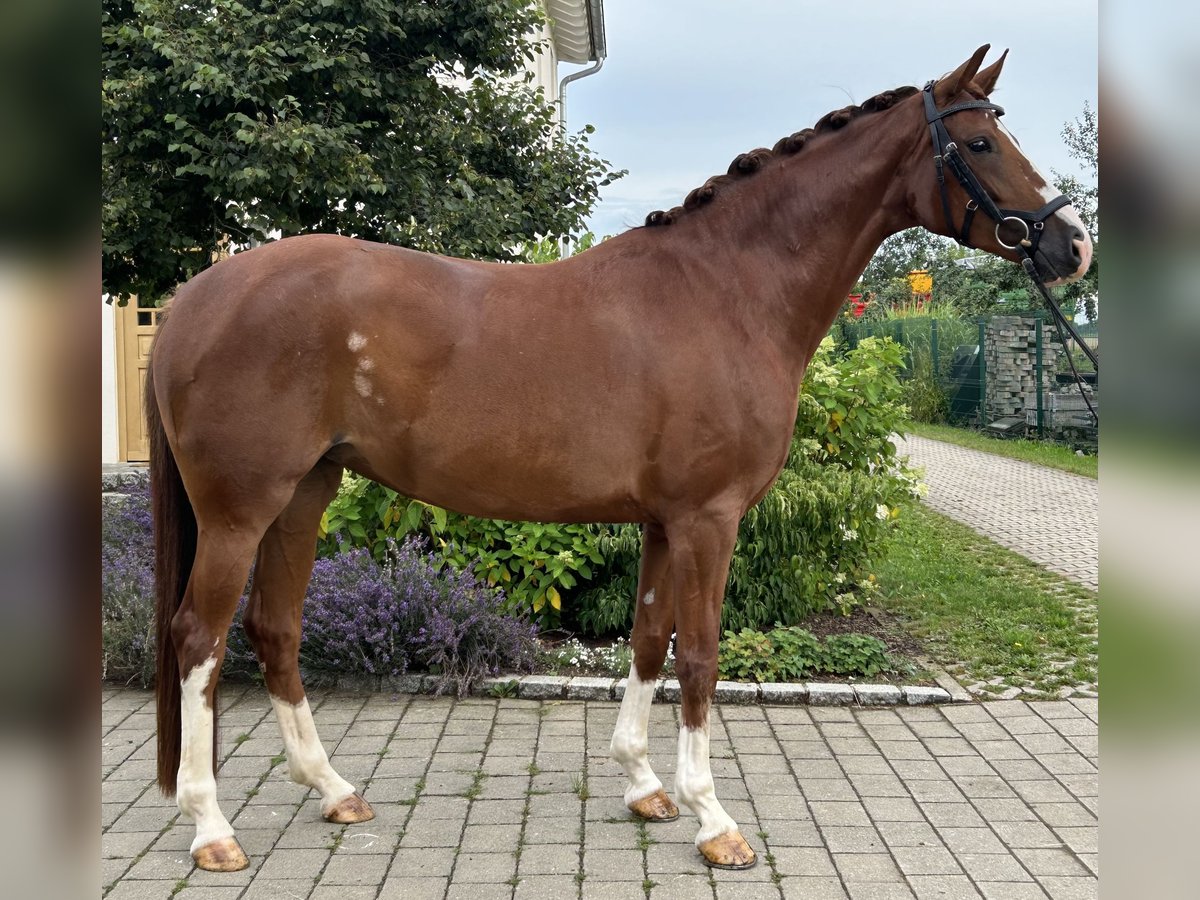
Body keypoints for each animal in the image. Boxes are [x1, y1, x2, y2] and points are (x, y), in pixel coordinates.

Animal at [145, 47, 1094, 873]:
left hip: (305, 493)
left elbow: (646, 640)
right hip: (240, 509)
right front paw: (715, 822)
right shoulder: (710, 519)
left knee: (275, 628)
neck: (725, 292)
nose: (1072, 245)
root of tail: (195, 296)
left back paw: (334, 790)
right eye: (982, 144)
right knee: (198, 638)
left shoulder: (665, 522)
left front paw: (645, 788)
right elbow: (700, 654)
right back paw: (211, 828)